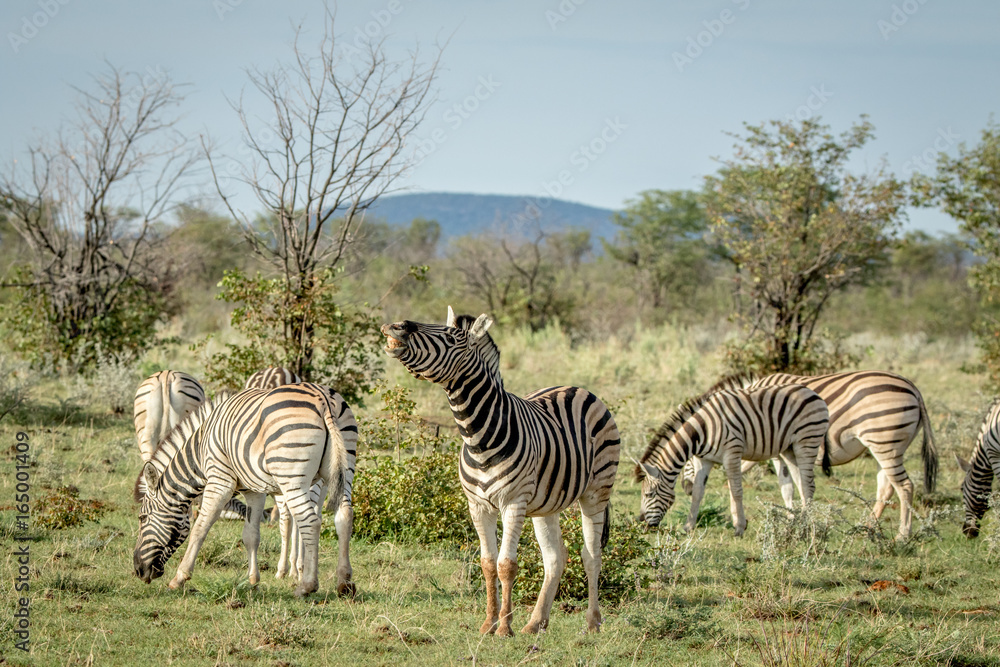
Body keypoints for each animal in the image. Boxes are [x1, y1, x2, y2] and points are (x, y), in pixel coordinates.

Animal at [133, 383, 354, 597]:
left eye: (142, 518)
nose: (138, 571)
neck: (200, 449)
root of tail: (322, 399)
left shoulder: (220, 480)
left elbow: (200, 528)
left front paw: (179, 578)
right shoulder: (254, 490)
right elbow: (251, 536)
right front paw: (253, 580)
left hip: (292, 476)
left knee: (310, 522)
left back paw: (307, 585)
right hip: (342, 471)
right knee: (343, 516)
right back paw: (344, 582)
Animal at [381, 307, 621, 636]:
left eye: (452, 337)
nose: (396, 325)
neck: (478, 437)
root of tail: (576, 388)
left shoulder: (513, 503)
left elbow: (506, 565)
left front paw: (504, 627)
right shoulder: (478, 506)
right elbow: (487, 562)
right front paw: (488, 624)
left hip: (596, 491)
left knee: (591, 555)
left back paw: (593, 622)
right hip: (547, 503)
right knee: (556, 557)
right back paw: (535, 623)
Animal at [634, 384, 829, 535]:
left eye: (648, 494)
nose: (641, 522)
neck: (702, 430)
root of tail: (812, 392)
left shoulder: (732, 453)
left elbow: (736, 490)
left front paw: (740, 527)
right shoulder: (705, 460)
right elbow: (697, 492)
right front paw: (688, 526)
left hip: (806, 442)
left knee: (809, 485)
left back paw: (806, 526)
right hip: (789, 449)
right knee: (800, 484)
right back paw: (798, 523)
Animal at [680, 371, 938, 539]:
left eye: (689, 456)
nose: (686, 489)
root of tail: (914, 388)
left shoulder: (773, 446)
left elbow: (784, 485)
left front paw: (790, 520)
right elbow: (786, 485)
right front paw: (792, 519)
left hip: (884, 441)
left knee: (905, 486)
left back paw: (903, 534)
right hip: (885, 446)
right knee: (886, 487)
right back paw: (868, 528)